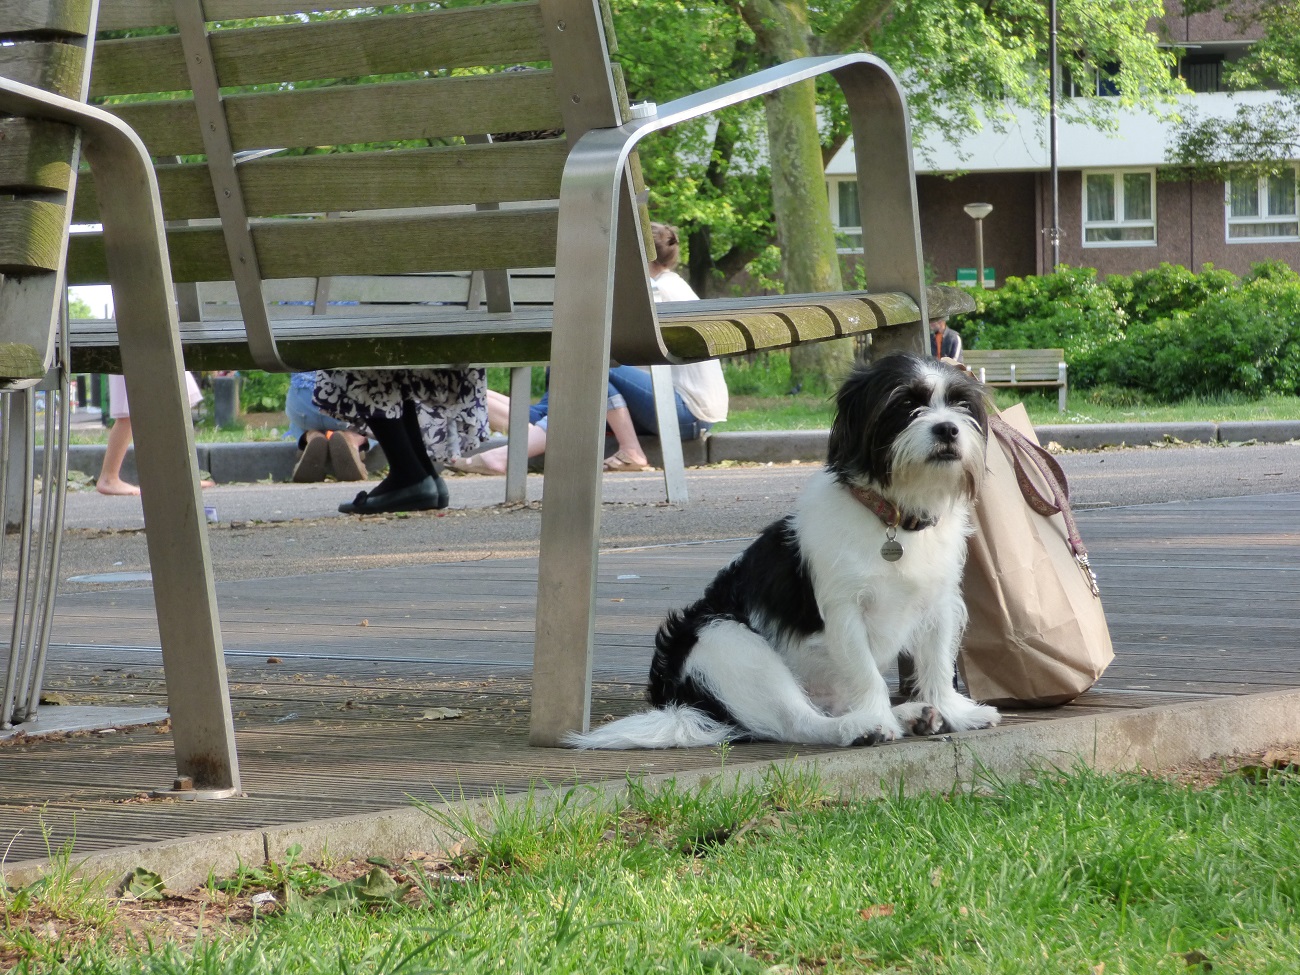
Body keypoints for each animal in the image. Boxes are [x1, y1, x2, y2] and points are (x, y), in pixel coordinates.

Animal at [564, 356, 998, 754]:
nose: (947, 428)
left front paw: (954, 712)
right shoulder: (844, 611)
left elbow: (937, 664)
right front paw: (878, 718)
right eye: (906, 403)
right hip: (728, 643)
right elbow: (865, 673)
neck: (892, 517)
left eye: (960, 404)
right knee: (799, 722)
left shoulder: (939, 604)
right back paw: (862, 726)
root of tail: (676, 699)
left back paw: (908, 714)